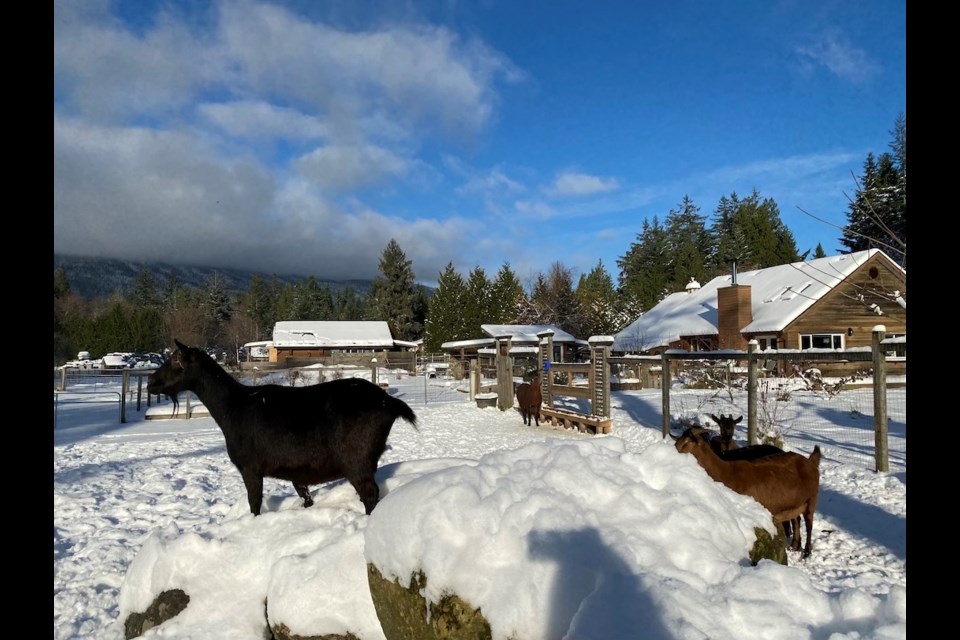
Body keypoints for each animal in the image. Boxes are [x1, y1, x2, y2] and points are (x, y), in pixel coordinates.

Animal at [148, 340, 418, 516]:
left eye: (176, 361)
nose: (151, 382)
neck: (233, 407)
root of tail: (389, 402)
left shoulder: (251, 466)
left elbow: (254, 502)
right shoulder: (298, 473)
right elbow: (305, 496)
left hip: (356, 460)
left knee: (370, 493)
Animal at [672, 428, 820, 556]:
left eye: (686, 443)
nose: (671, 451)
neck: (726, 472)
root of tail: (810, 461)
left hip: (812, 499)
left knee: (809, 524)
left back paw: (807, 552)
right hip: (796, 504)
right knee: (796, 521)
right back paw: (794, 546)